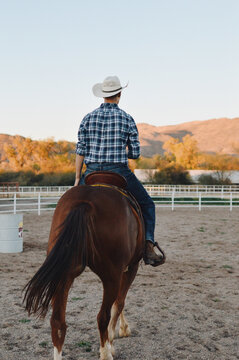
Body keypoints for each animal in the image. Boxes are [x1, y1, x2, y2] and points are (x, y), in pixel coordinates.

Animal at [23, 173, 148, 358]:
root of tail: (85, 203)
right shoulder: (131, 267)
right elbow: (119, 303)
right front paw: (115, 338)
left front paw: (123, 329)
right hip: (111, 276)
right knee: (103, 316)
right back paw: (106, 353)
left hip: (64, 274)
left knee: (58, 322)